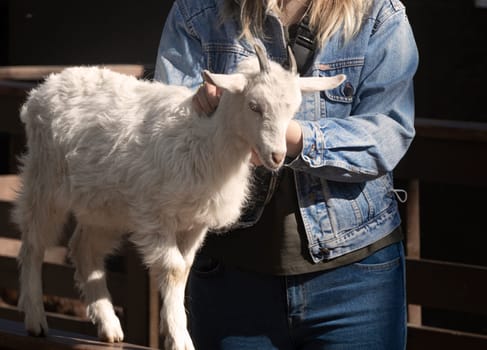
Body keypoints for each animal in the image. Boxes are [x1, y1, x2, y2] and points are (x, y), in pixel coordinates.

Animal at [12, 44, 346, 350]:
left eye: (293, 109)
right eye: (254, 106)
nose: (277, 156)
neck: (205, 141)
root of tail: (45, 87)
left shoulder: (195, 222)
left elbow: (184, 269)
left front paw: (172, 328)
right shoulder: (155, 216)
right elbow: (172, 270)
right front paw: (180, 339)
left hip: (105, 206)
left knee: (84, 249)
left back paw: (109, 326)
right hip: (45, 181)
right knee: (33, 245)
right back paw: (35, 319)